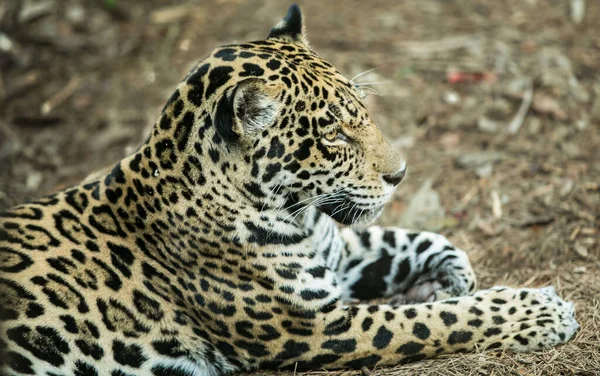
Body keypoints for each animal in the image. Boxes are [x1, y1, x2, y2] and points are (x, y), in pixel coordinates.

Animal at [1, 3, 580, 376]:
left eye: (362, 111)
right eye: (333, 134)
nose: (400, 174)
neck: (292, 213)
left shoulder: (334, 249)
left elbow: (409, 240)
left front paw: (451, 275)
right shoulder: (318, 327)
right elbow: (438, 320)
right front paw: (540, 311)